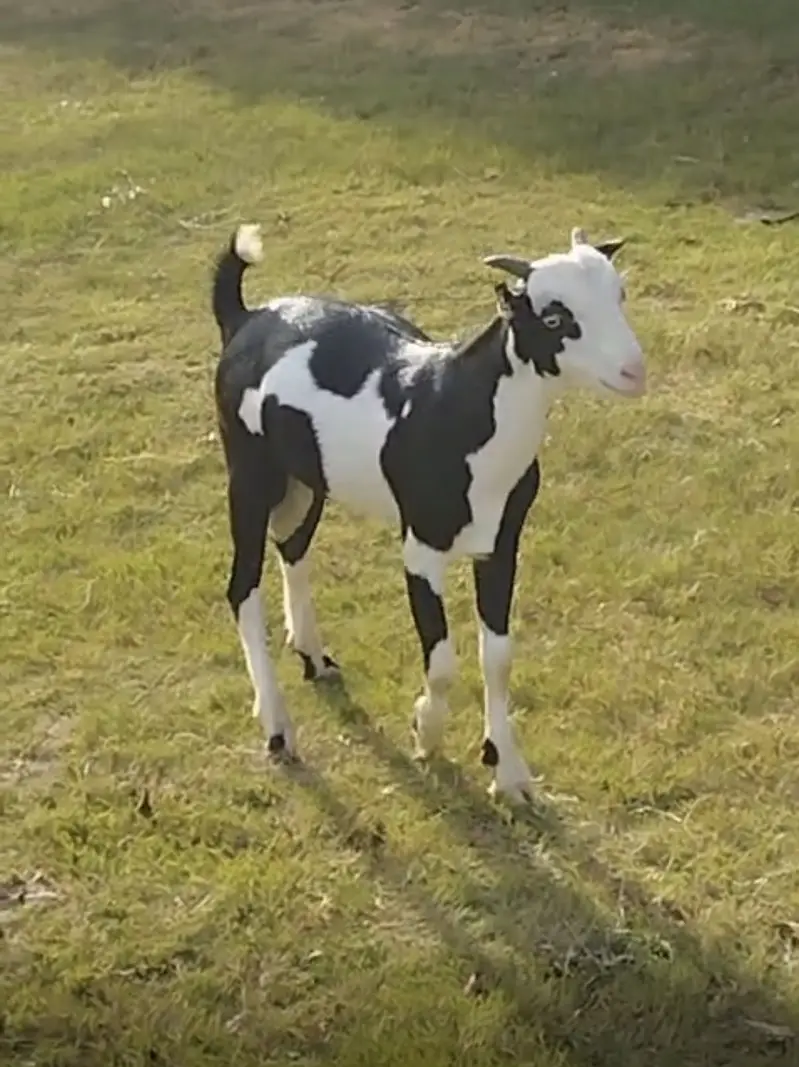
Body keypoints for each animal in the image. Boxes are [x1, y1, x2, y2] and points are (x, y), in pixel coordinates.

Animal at [212, 223, 646, 803]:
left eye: (619, 295)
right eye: (555, 318)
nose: (634, 371)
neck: (460, 409)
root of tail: (246, 318)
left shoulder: (501, 543)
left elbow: (498, 658)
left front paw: (508, 771)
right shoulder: (421, 548)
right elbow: (440, 663)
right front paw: (426, 732)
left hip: (305, 479)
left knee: (294, 549)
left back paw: (314, 656)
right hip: (250, 474)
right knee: (242, 586)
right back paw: (278, 728)